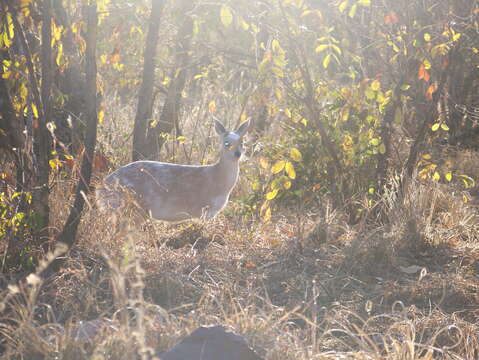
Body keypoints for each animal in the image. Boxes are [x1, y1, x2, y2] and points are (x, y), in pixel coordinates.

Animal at [95, 119, 249, 221]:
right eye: (226, 143)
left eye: (242, 142)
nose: (238, 154)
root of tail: (101, 187)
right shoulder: (206, 209)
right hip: (125, 204)